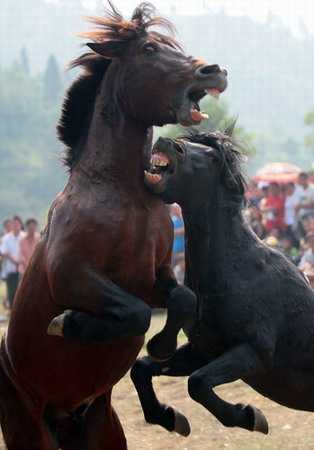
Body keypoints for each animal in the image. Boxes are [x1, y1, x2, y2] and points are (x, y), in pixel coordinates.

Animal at [0, 3, 227, 450]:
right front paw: (68, 322)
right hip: (30, 431)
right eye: (151, 48)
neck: (121, 197)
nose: (214, 70)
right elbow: (135, 313)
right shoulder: (70, 277)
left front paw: (160, 346)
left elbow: (181, 299)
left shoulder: (155, 275)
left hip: (103, 431)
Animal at [131, 128, 314, 438]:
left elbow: (197, 383)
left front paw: (250, 416)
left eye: (213, 156)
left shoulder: (255, 352)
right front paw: (170, 417)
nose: (168, 143)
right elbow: (142, 367)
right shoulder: (203, 351)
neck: (239, 271)